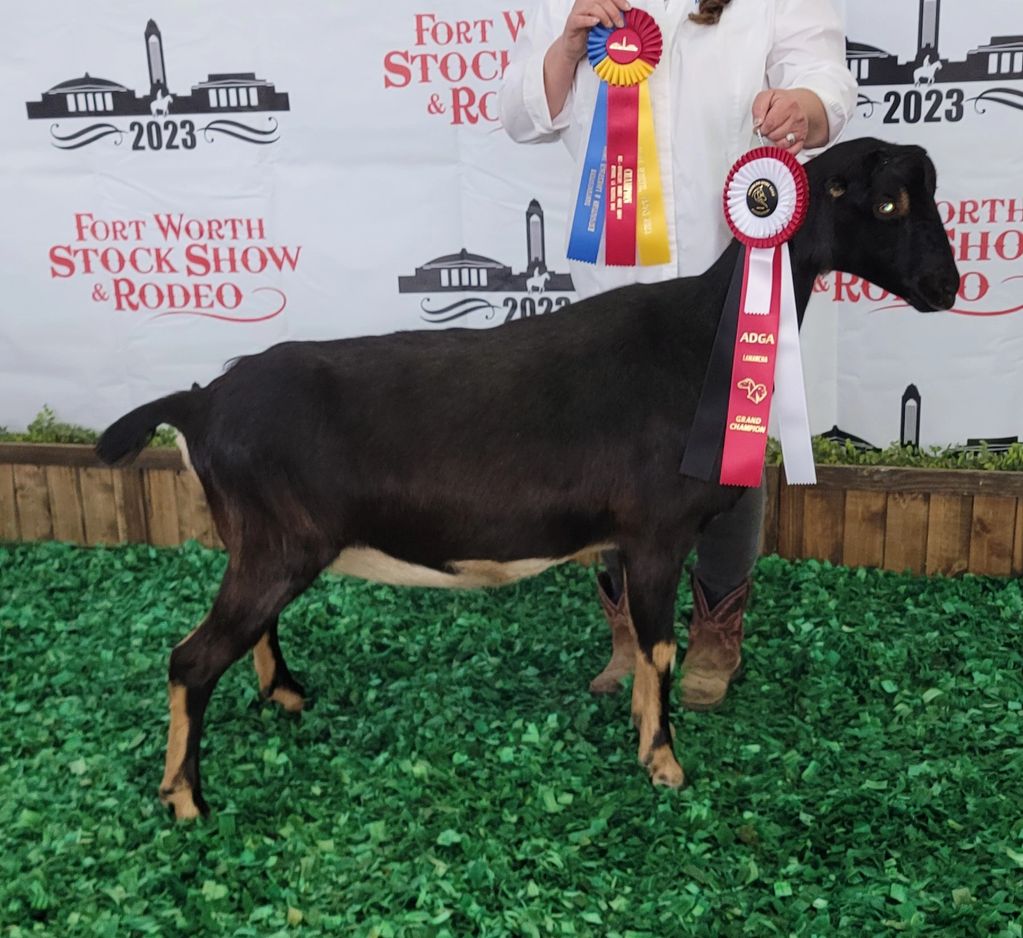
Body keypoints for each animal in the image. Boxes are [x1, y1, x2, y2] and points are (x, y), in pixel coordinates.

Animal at [96, 135, 957, 814]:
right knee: (191, 659)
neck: (700, 343)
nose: (945, 287)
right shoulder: (655, 534)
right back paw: (186, 800)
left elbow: (643, 646)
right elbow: (659, 648)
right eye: (886, 204)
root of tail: (199, 401)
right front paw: (665, 765)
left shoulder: (625, 541)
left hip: (267, 547)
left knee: (248, 632)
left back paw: (285, 694)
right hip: (274, 547)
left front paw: (643, 734)